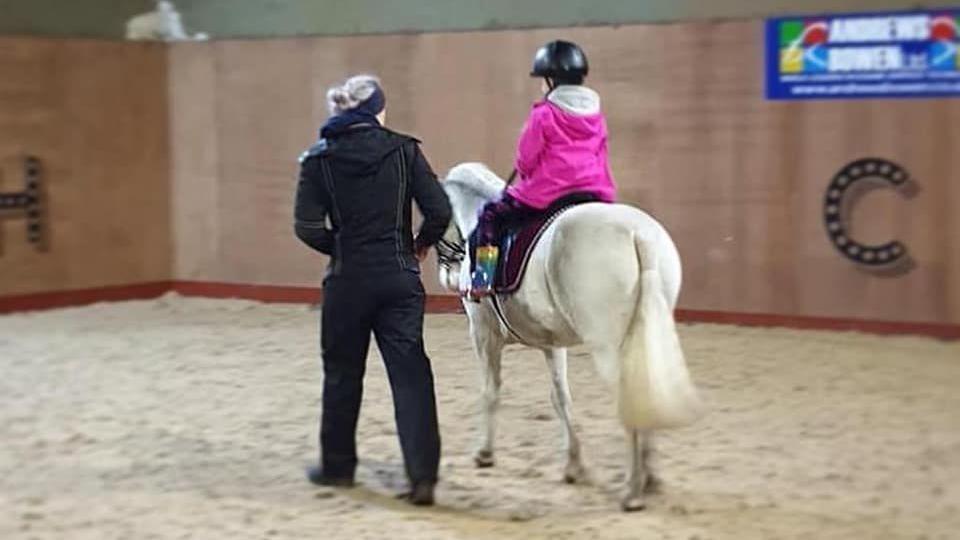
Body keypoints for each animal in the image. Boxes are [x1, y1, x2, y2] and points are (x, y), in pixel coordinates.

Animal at [436, 163, 704, 510]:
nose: (445, 274)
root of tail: (639, 235)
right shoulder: (551, 344)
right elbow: (560, 398)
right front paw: (574, 466)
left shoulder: (483, 334)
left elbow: (490, 391)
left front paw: (484, 454)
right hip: (647, 332)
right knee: (648, 388)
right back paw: (650, 476)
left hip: (608, 346)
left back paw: (633, 489)